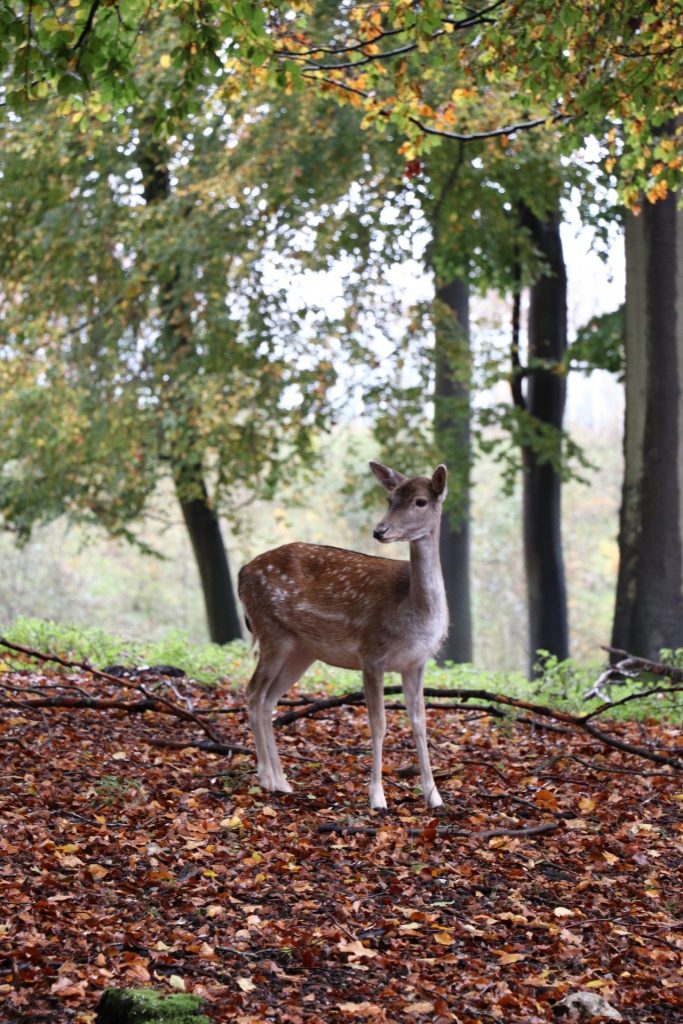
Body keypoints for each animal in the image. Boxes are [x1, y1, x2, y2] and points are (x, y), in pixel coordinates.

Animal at [237, 462, 450, 806]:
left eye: (420, 501)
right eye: (390, 498)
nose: (380, 530)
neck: (415, 611)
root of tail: (242, 573)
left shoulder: (417, 662)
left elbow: (420, 723)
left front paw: (434, 796)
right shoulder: (371, 652)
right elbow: (378, 724)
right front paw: (377, 798)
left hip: (301, 651)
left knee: (268, 699)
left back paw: (283, 781)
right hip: (271, 632)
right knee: (253, 692)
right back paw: (267, 778)